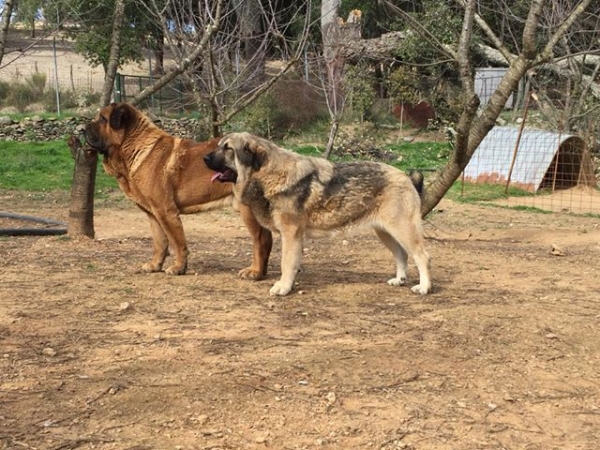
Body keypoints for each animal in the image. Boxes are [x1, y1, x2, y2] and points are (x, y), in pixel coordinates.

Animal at [84, 103, 272, 276]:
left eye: (103, 119)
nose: (83, 128)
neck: (134, 146)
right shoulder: (153, 213)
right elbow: (160, 242)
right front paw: (155, 266)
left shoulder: (166, 211)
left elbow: (177, 243)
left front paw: (178, 268)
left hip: (248, 210)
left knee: (261, 240)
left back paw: (254, 272)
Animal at [205, 132, 432, 298]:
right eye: (220, 145)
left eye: (228, 149)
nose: (204, 157)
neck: (268, 174)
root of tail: (407, 177)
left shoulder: (291, 235)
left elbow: (287, 263)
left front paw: (283, 287)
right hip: (385, 233)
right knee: (401, 255)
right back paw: (399, 280)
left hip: (402, 230)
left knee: (422, 256)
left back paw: (424, 287)